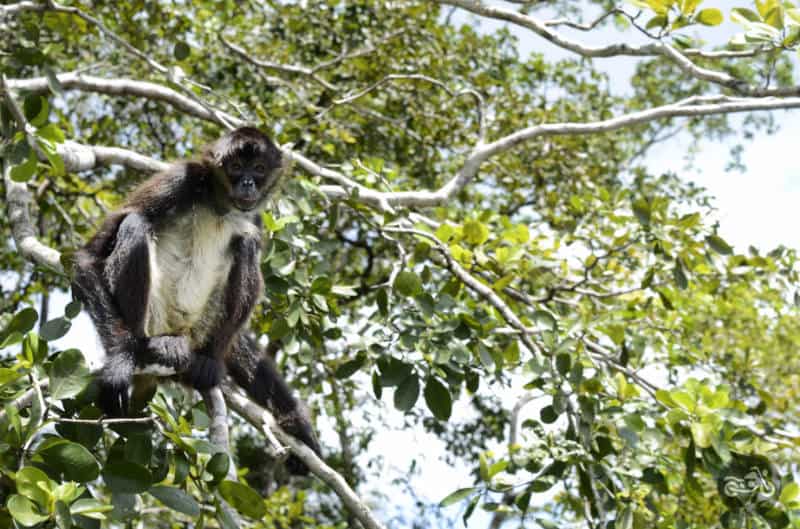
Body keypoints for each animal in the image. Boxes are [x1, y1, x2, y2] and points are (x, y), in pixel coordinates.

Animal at [72, 126, 320, 472]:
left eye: (258, 169)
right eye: (235, 167)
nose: (247, 183)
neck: (218, 205)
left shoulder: (254, 216)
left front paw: (300, 427)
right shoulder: (180, 179)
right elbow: (88, 258)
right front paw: (120, 361)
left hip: (202, 328)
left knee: (246, 244)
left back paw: (202, 360)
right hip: (153, 317)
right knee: (134, 223)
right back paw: (145, 348)